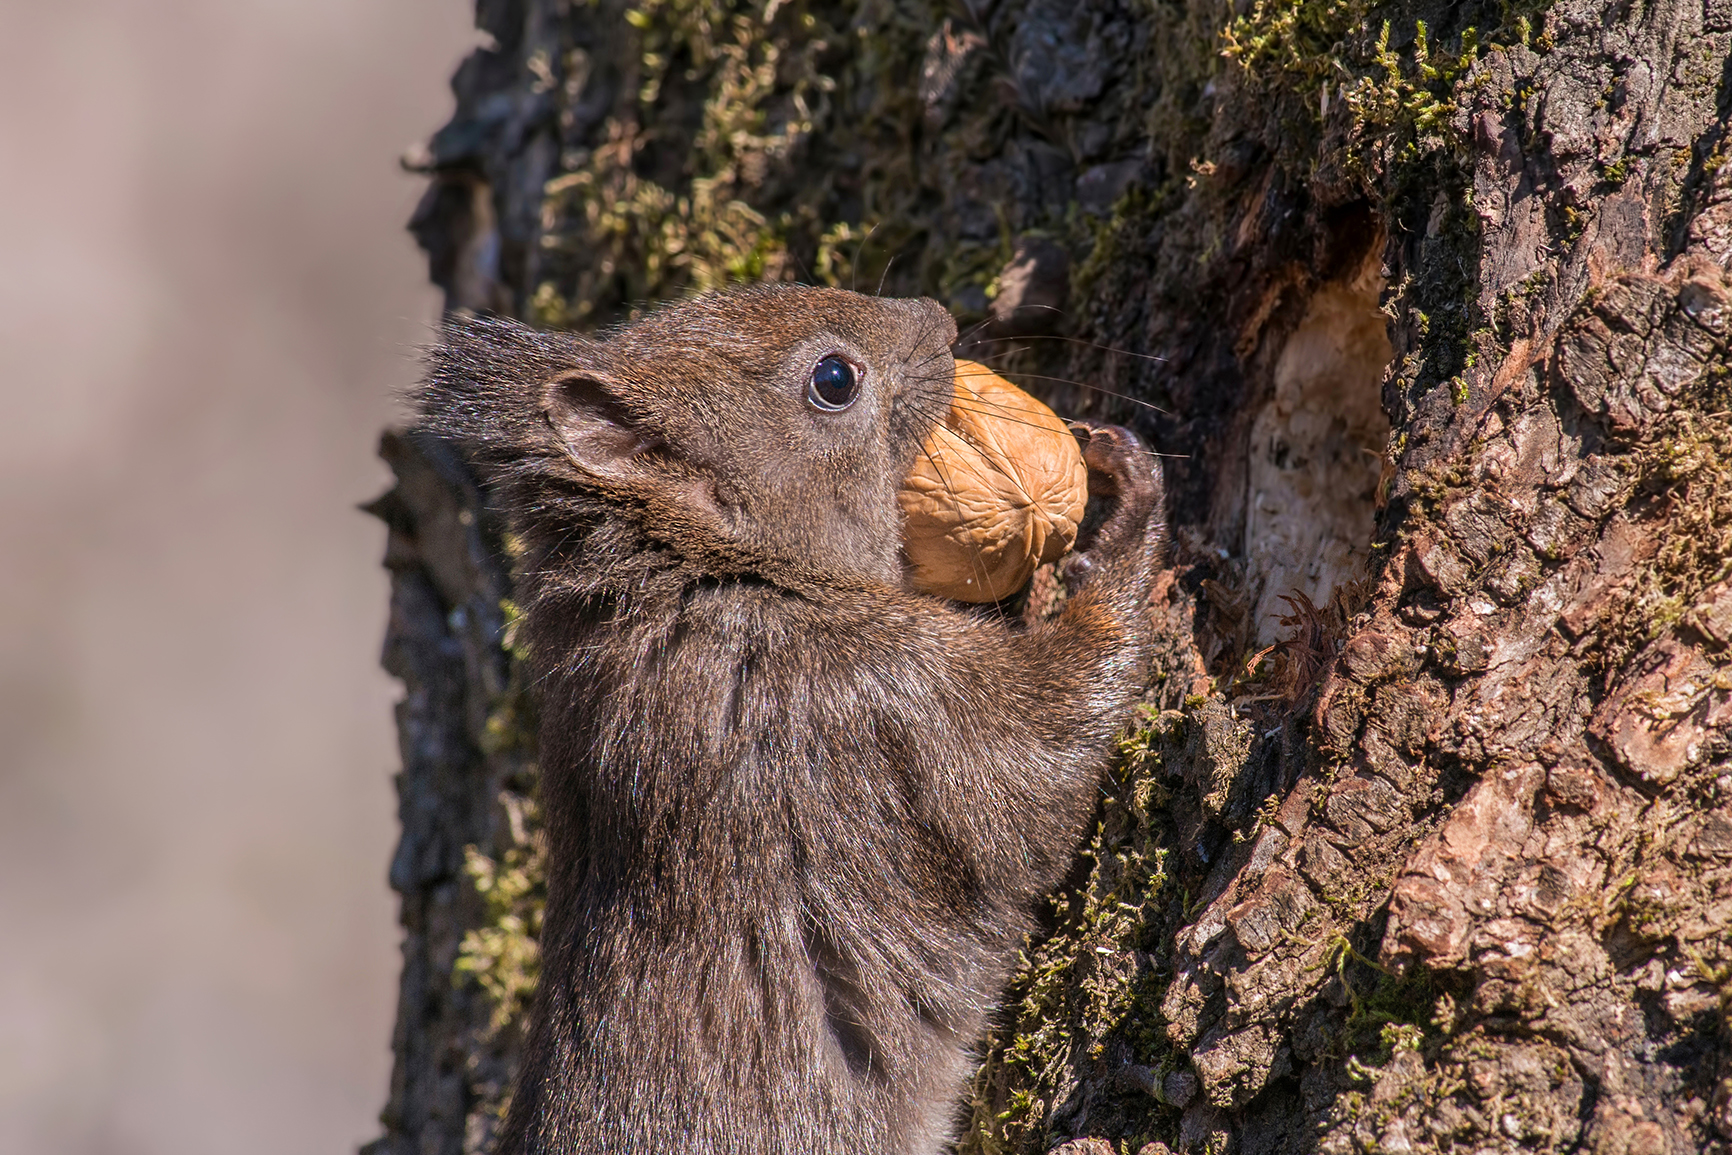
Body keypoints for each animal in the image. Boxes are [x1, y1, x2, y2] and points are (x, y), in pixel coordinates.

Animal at [418, 284, 1166, 1155]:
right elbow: (1042, 758)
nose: (941, 318)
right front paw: (1131, 527)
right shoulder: (879, 694)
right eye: (834, 379)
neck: (706, 574)